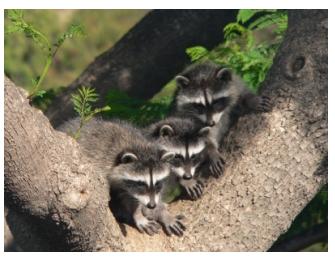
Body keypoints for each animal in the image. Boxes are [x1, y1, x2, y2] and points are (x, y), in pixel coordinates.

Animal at [59, 119, 188, 237]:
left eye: (158, 183)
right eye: (141, 184)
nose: (152, 205)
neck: (138, 147)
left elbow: (133, 197)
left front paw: (161, 213)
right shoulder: (100, 163)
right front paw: (138, 215)